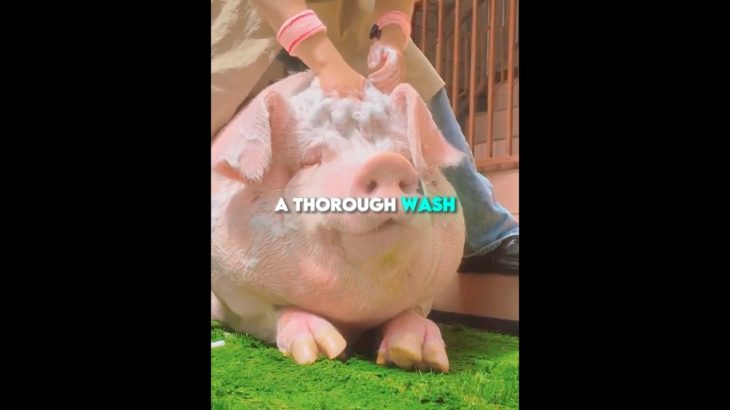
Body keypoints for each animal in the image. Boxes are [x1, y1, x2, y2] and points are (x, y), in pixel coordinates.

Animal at [211, 71, 466, 372]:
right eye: (310, 160)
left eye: (404, 154)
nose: (387, 163)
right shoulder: (233, 295)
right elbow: (273, 311)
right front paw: (323, 351)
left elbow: (412, 311)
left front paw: (419, 356)